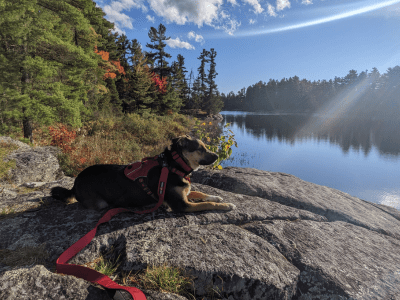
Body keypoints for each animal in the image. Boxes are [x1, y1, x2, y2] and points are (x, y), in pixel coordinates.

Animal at [51, 136, 236, 213]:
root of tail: (74, 183)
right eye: (200, 149)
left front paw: (217, 196)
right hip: (101, 203)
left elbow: (200, 193)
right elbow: (207, 204)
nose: (217, 156)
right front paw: (227, 205)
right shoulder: (182, 205)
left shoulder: (184, 193)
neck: (174, 165)